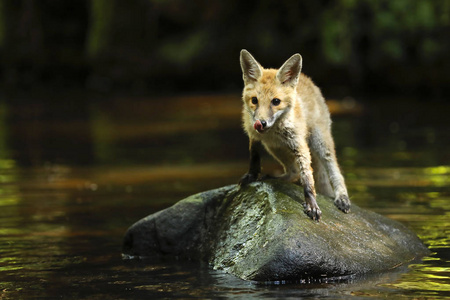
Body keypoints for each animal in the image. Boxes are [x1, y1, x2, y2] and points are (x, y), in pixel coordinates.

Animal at [239, 49, 352, 220]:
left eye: (276, 101)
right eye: (254, 100)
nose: (260, 123)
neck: (273, 132)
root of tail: (307, 78)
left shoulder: (300, 144)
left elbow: (307, 179)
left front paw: (312, 205)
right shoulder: (255, 137)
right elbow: (254, 159)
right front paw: (251, 176)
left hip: (320, 142)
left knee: (334, 170)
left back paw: (342, 197)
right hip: (275, 148)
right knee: (293, 171)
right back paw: (275, 178)